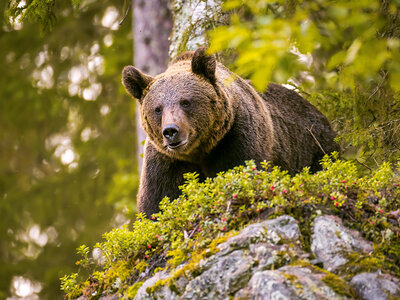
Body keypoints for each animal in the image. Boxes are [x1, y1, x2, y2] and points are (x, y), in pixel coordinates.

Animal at [121, 47, 338, 217]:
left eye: (185, 101)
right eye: (157, 109)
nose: (171, 131)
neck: (200, 151)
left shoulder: (238, 137)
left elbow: (242, 171)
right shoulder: (166, 161)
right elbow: (157, 202)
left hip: (314, 146)